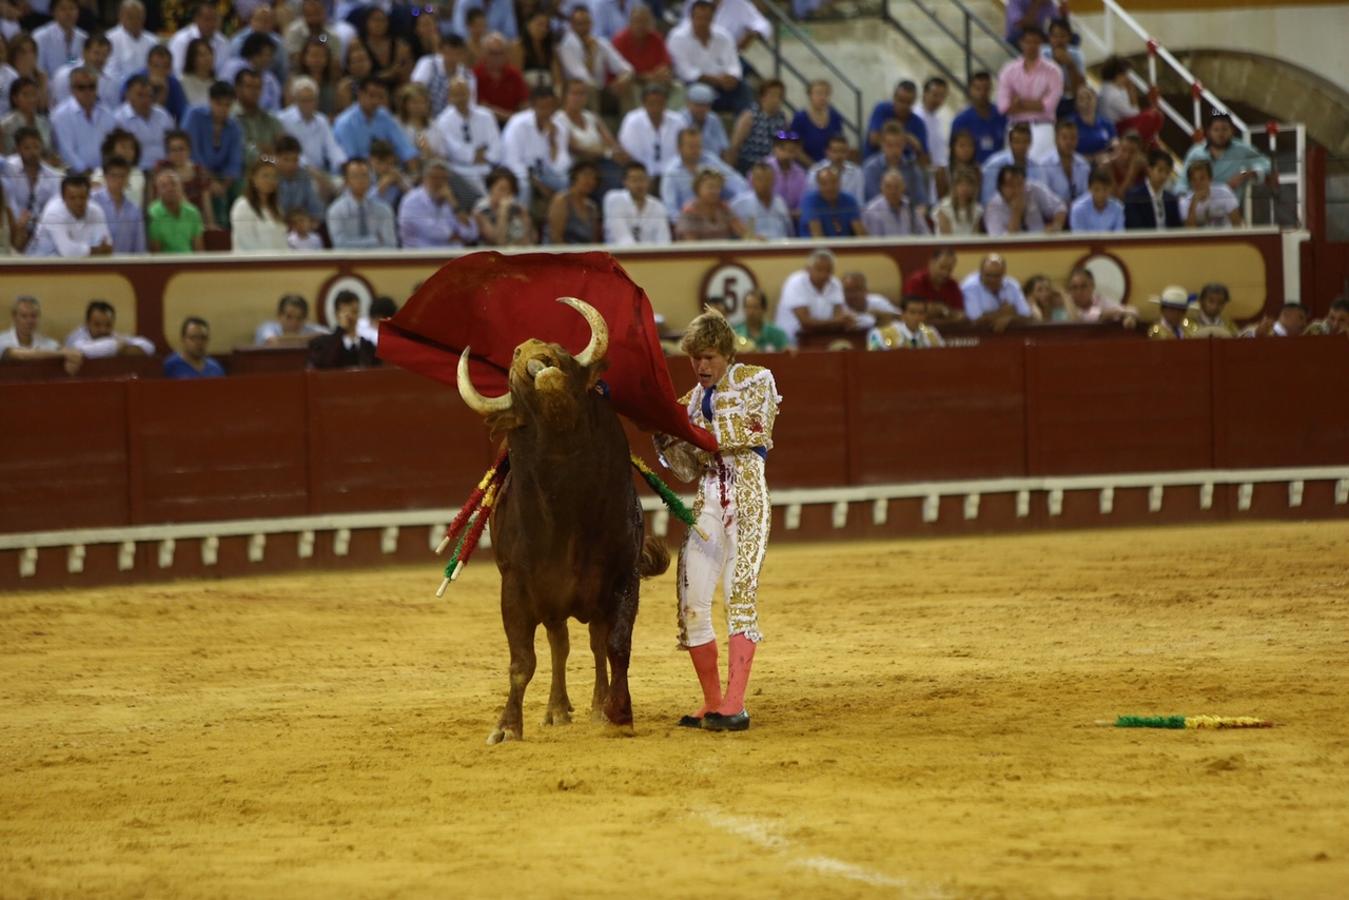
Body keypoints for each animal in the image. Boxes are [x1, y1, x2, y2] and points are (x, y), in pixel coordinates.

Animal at [458, 299, 669, 744]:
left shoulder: (624, 577)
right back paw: (557, 709)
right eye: (513, 363)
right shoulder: (515, 588)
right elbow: (522, 661)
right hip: (552, 602)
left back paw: (597, 707)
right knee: (560, 645)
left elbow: (617, 646)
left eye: (558, 348)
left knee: (593, 643)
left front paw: (619, 713)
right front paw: (506, 728)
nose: (536, 359)